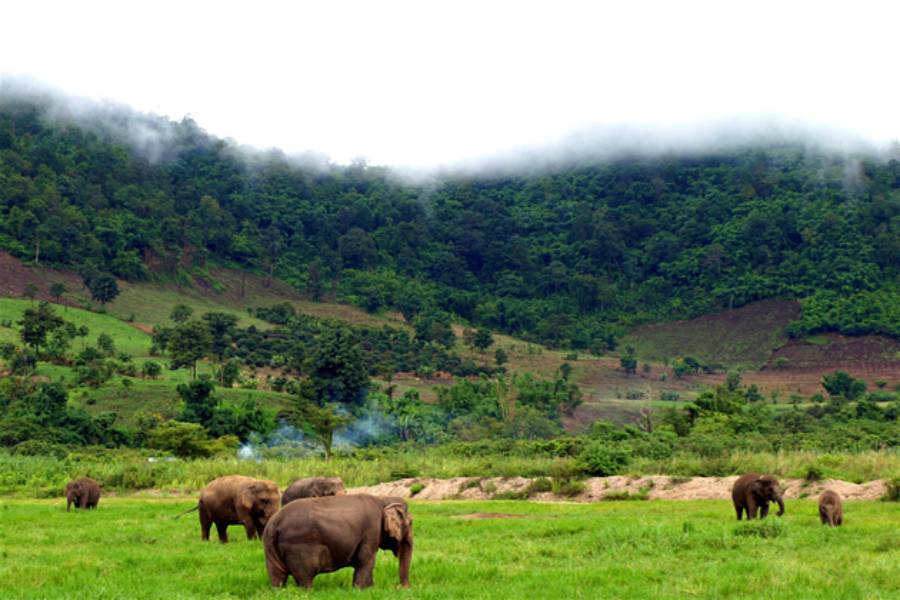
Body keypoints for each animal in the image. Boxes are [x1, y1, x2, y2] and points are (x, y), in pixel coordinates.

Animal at [262, 494, 414, 588]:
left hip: (269, 547)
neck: (383, 499)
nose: (400, 588)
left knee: (277, 576)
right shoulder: (371, 531)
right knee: (304, 578)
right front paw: (363, 590)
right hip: (299, 546)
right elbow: (366, 560)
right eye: (411, 523)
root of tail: (274, 523)